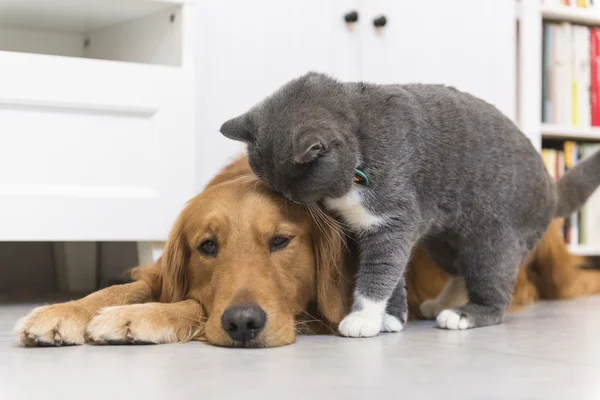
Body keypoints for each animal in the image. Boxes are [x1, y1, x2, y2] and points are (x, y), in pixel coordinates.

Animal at [14, 158, 600, 348]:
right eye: (208, 247)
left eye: (281, 241)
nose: (244, 324)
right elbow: (127, 284)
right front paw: (63, 311)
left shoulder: (320, 309)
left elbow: (194, 304)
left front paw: (140, 318)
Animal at [219, 72, 600, 338]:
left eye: (292, 189)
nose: (287, 200)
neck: (361, 141)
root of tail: (551, 187)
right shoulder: (376, 230)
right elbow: (394, 273)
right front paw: (391, 317)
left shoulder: (393, 222)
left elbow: (380, 272)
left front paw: (363, 318)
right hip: (443, 241)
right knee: (460, 268)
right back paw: (443, 302)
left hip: (495, 239)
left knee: (494, 291)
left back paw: (462, 314)